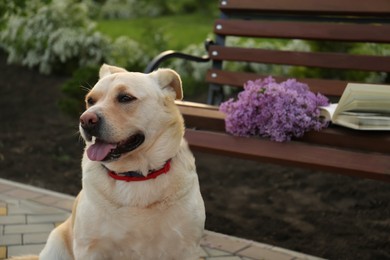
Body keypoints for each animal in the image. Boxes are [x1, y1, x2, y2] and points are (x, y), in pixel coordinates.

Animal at [10, 64, 206, 260]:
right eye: (90, 100)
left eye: (125, 98)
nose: (85, 120)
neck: (135, 175)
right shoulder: (89, 248)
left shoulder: (186, 248)